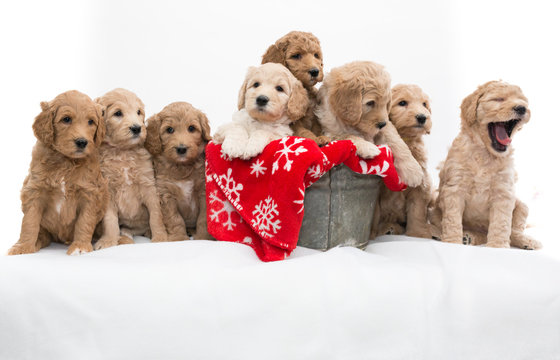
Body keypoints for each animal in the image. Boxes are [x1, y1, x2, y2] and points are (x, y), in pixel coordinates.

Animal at [94, 88, 167, 250]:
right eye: (118, 113)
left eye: (138, 112)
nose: (137, 128)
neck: (124, 152)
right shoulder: (108, 190)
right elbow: (110, 220)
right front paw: (108, 241)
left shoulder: (149, 187)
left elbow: (156, 215)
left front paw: (160, 237)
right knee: (126, 230)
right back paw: (123, 238)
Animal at [144, 102, 212, 242]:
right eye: (169, 130)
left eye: (191, 128)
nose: (181, 149)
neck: (181, 167)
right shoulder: (166, 195)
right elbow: (175, 219)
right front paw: (179, 238)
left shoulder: (203, 191)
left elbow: (203, 219)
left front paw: (203, 238)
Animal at [372, 83, 434, 238]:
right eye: (402, 103)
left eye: (424, 104)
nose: (422, 117)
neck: (406, 139)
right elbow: (374, 214)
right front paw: (371, 235)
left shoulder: (421, 186)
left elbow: (417, 211)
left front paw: (418, 233)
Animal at [428, 81, 544, 250]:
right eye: (498, 99)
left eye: (523, 101)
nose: (522, 108)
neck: (485, 153)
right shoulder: (455, 189)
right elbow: (452, 219)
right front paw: (452, 241)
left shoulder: (504, 192)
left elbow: (501, 223)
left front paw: (497, 246)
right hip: (435, 211)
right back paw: (462, 236)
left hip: (522, 206)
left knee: (513, 231)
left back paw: (527, 241)